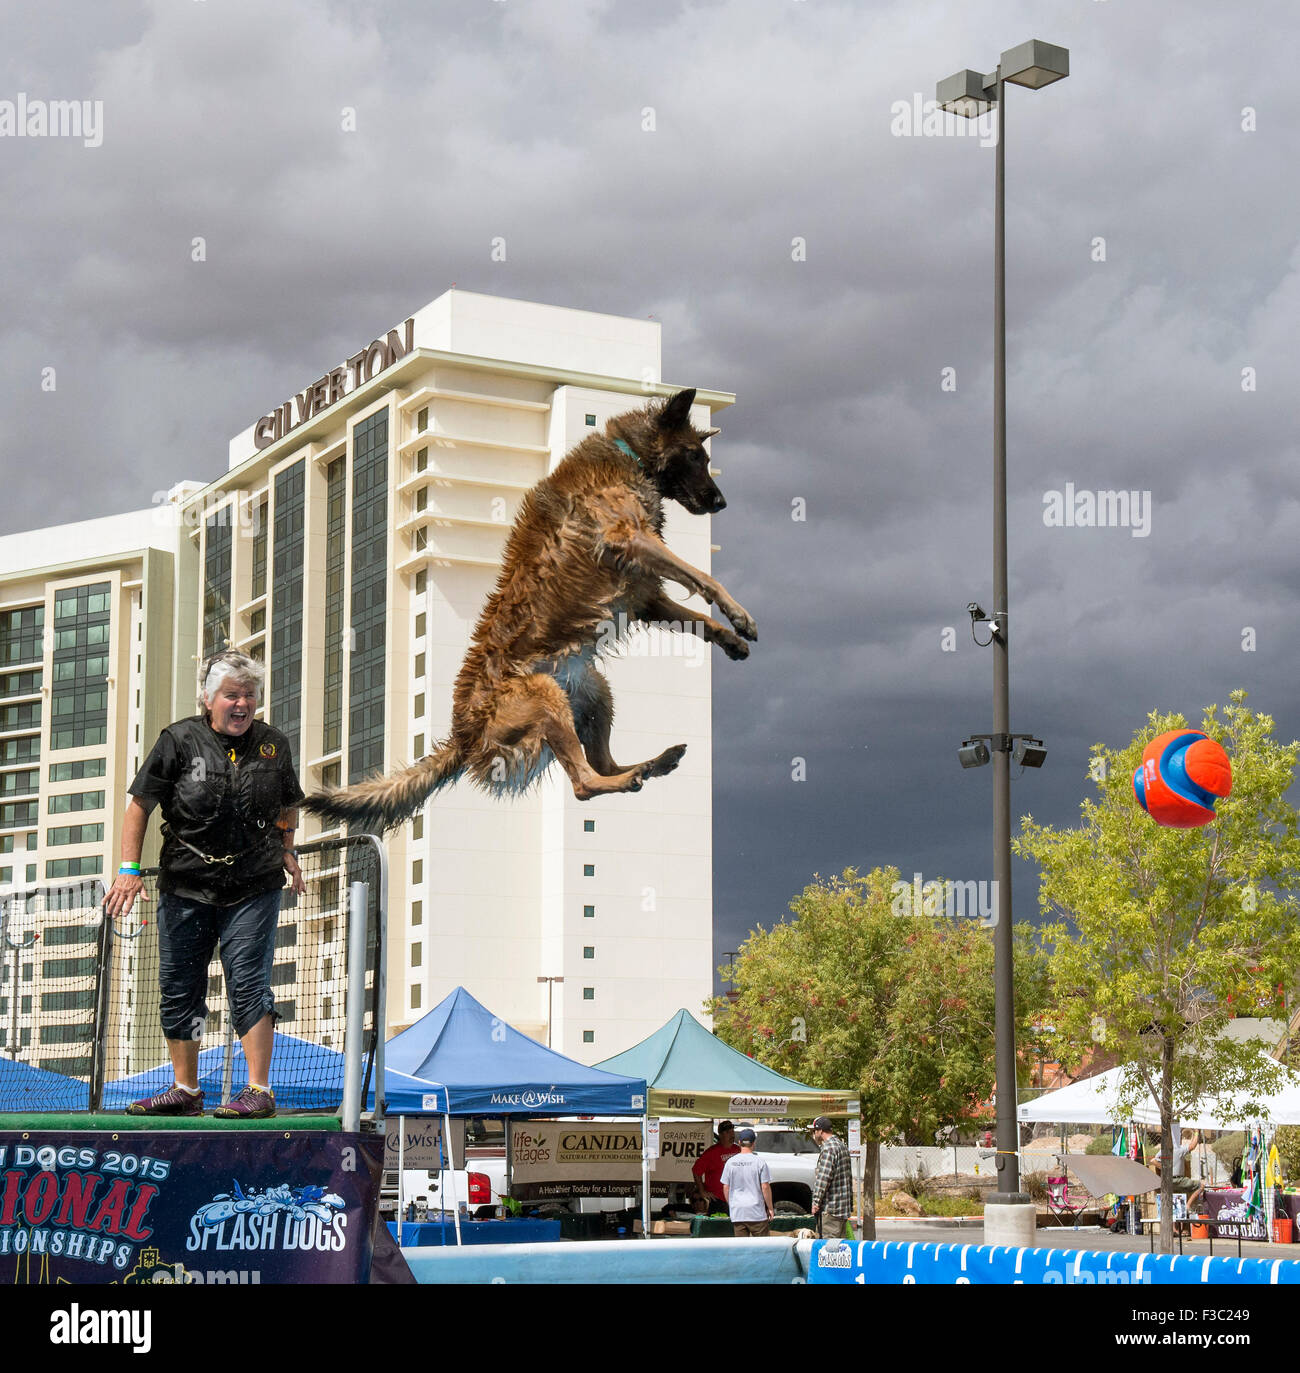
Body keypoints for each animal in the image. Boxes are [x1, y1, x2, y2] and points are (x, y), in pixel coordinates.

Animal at [303, 392, 752, 829]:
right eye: (694, 456)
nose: (721, 502)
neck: (629, 455)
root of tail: (463, 735)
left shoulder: (645, 596)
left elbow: (699, 618)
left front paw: (731, 638)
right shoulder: (630, 541)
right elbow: (705, 579)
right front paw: (742, 616)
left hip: (592, 691)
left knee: (601, 763)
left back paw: (652, 764)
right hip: (545, 694)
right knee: (585, 782)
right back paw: (633, 775)